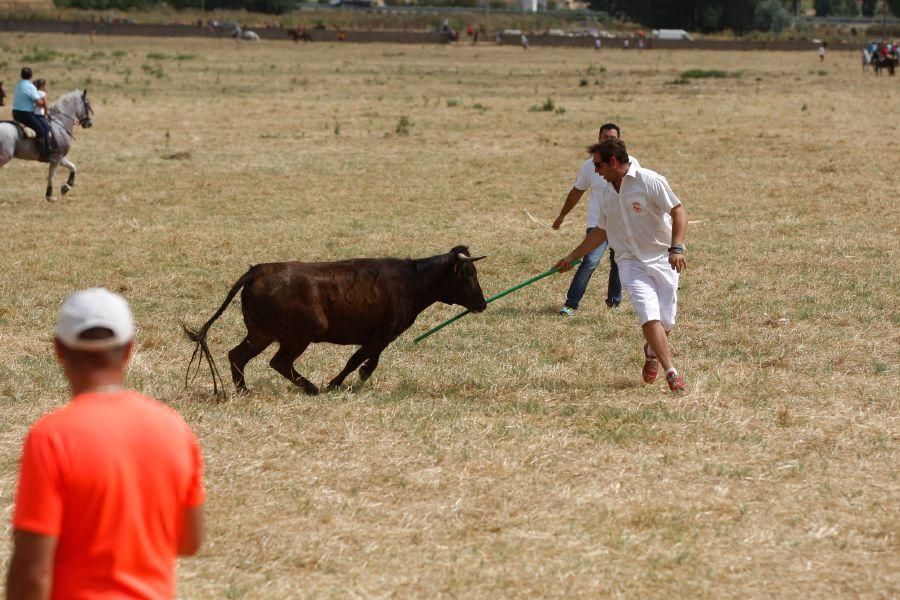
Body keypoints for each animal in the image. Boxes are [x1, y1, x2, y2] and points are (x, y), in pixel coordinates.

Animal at [182, 246, 486, 396]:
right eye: (469, 274)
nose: (482, 304)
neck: (412, 280)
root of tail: (257, 270)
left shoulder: (382, 334)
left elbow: (371, 356)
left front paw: (358, 375)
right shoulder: (385, 331)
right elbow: (359, 358)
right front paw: (337, 382)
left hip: (260, 333)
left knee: (238, 355)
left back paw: (244, 391)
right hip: (298, 335)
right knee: (278, 362)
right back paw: (312, 388)